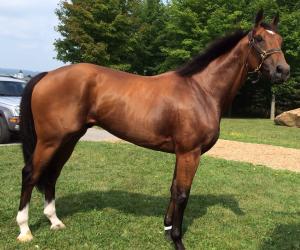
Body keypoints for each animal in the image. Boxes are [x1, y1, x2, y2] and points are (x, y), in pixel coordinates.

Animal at [17, 10, 290, 249]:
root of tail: (47, 75)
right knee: (30, 174)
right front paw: (178, 240)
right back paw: (25, 230)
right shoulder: (190, 153)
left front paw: (168, 230)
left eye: (280, 40)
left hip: (69, 139)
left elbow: (173, 189)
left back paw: (55, 221)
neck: (201, 90)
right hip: (50, 140)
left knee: (52, 174)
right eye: (258, 38)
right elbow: (182, 194)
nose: (283, 71)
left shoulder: (182, 153)